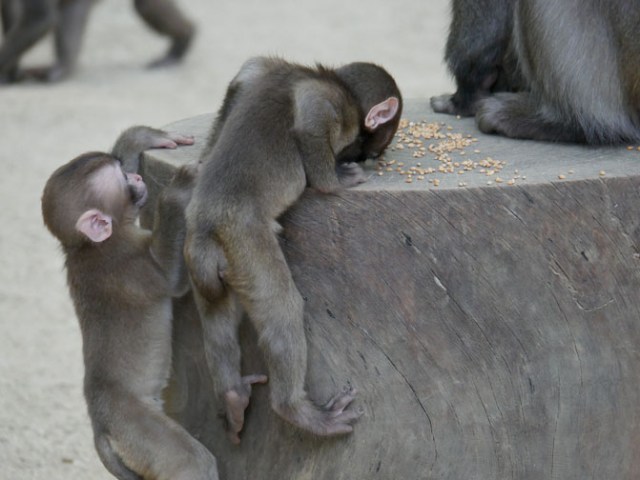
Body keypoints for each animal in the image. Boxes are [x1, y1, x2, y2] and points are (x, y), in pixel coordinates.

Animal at [0, 0, 195, 83]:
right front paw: (11, 74)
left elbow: (40, 18)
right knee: (70, 12)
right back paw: (63, 67)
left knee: (145, 6)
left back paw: (184, 40)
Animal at [41, 126, 229, 480]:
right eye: (123, 181)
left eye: (124, 170)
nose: (137, 177)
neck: (87, 247)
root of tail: (100, 427)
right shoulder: (128, 265)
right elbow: (170, 280)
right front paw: (177, 191)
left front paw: (141, 139)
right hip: (136, 426)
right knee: (191, 462)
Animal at [183, 56, 402, 442]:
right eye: (377, 146)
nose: (373, 155)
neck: (330, 79)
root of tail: (206, 226)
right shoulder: (335, 104)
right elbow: (309, 123)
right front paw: (335, 181)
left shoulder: (267, 69)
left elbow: (245, 77)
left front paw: (201, 161)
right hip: (246, 241)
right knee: (282, 309)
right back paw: (297, 411)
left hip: (208, 258)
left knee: (216, 322)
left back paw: (232, 395)